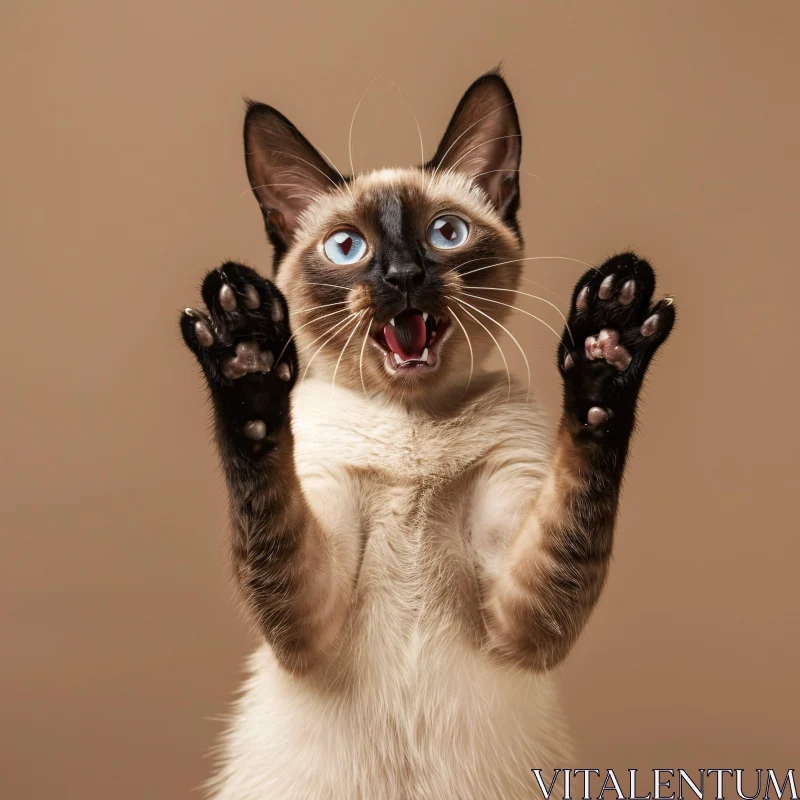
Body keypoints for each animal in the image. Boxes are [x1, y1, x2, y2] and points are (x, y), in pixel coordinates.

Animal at [180, 72, 676, 796]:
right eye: (348, 247)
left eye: (446, 233)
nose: (403, 276)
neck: (410, 430)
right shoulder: (308, 613)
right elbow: (258, 461)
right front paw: (247, 358)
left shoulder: (521, 614)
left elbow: (582, 474)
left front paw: (606, 347)